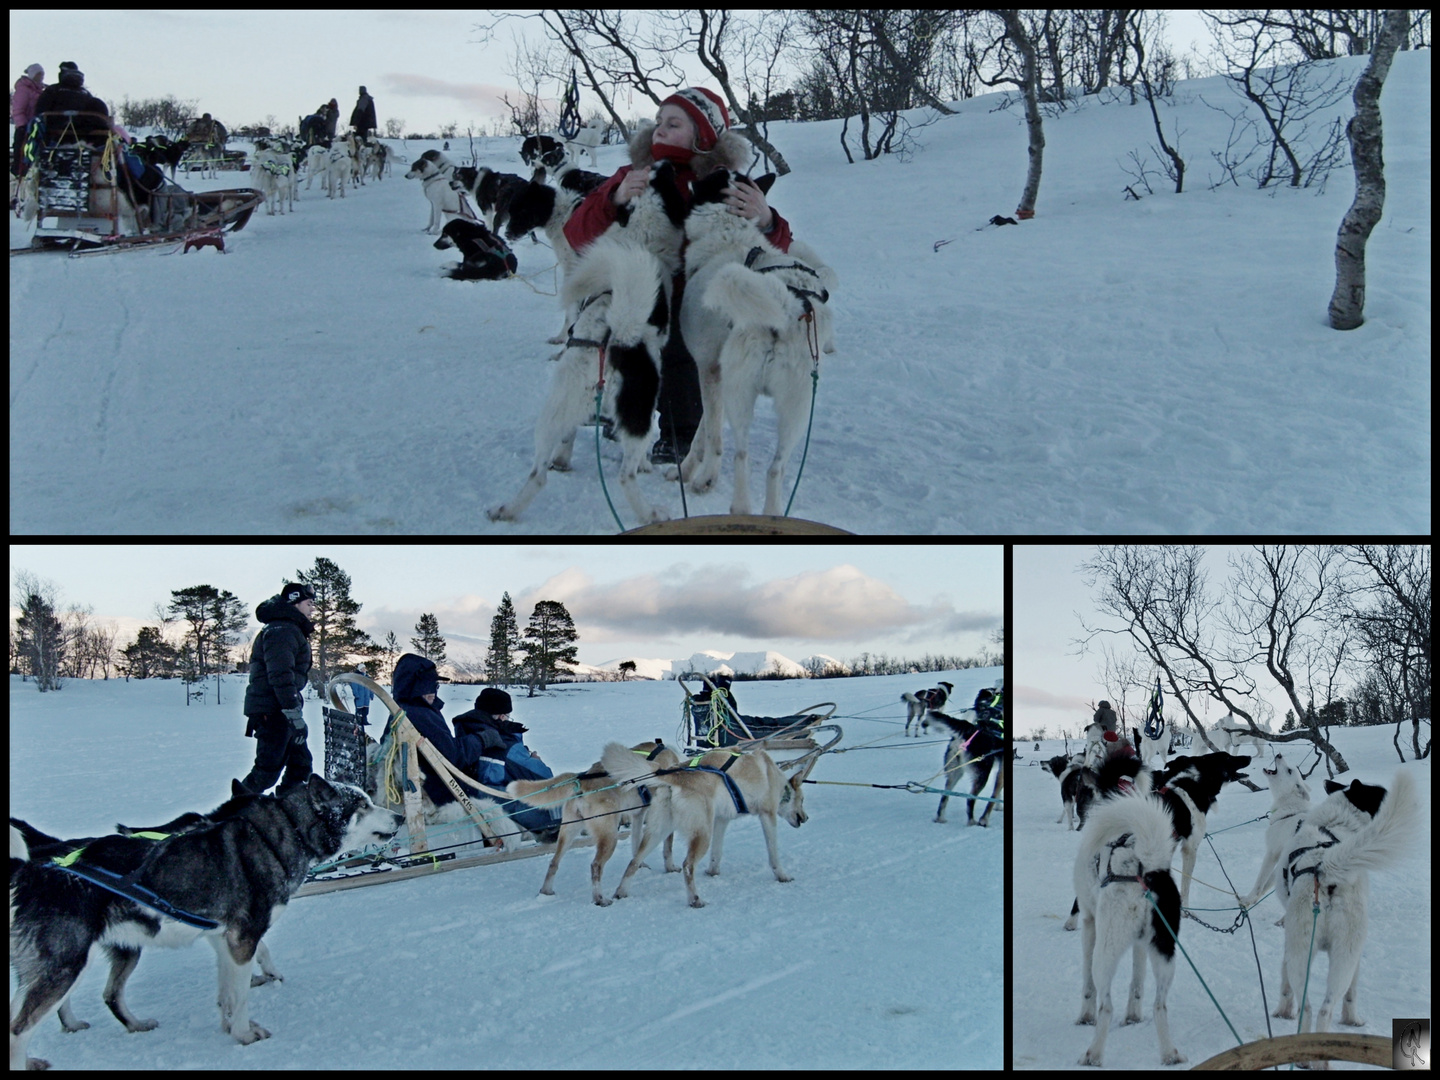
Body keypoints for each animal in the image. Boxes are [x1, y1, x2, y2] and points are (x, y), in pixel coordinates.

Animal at [506, 743, 679, 904]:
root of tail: (581, 781)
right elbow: (668, 848)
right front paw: (671, 867)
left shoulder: (638, 815)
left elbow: (636, 844)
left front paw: (641, 864)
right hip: (610, 837)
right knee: (595, 866)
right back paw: (600, 899)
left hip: (568, 831)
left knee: (554, 862)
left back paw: (546, 891)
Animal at [599, 743, 812, 910]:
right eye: (802, 800)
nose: (806, 817)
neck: (775, 779)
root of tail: (676, 776)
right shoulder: (767, 816)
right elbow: (773, 854)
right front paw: (782, 876)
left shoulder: (721, 821)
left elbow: (716, 854)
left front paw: (713, 872)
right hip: (701, 835)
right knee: (687, 865)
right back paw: (695, 899)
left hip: (660, 831)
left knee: (634, 861)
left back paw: (621, 892)